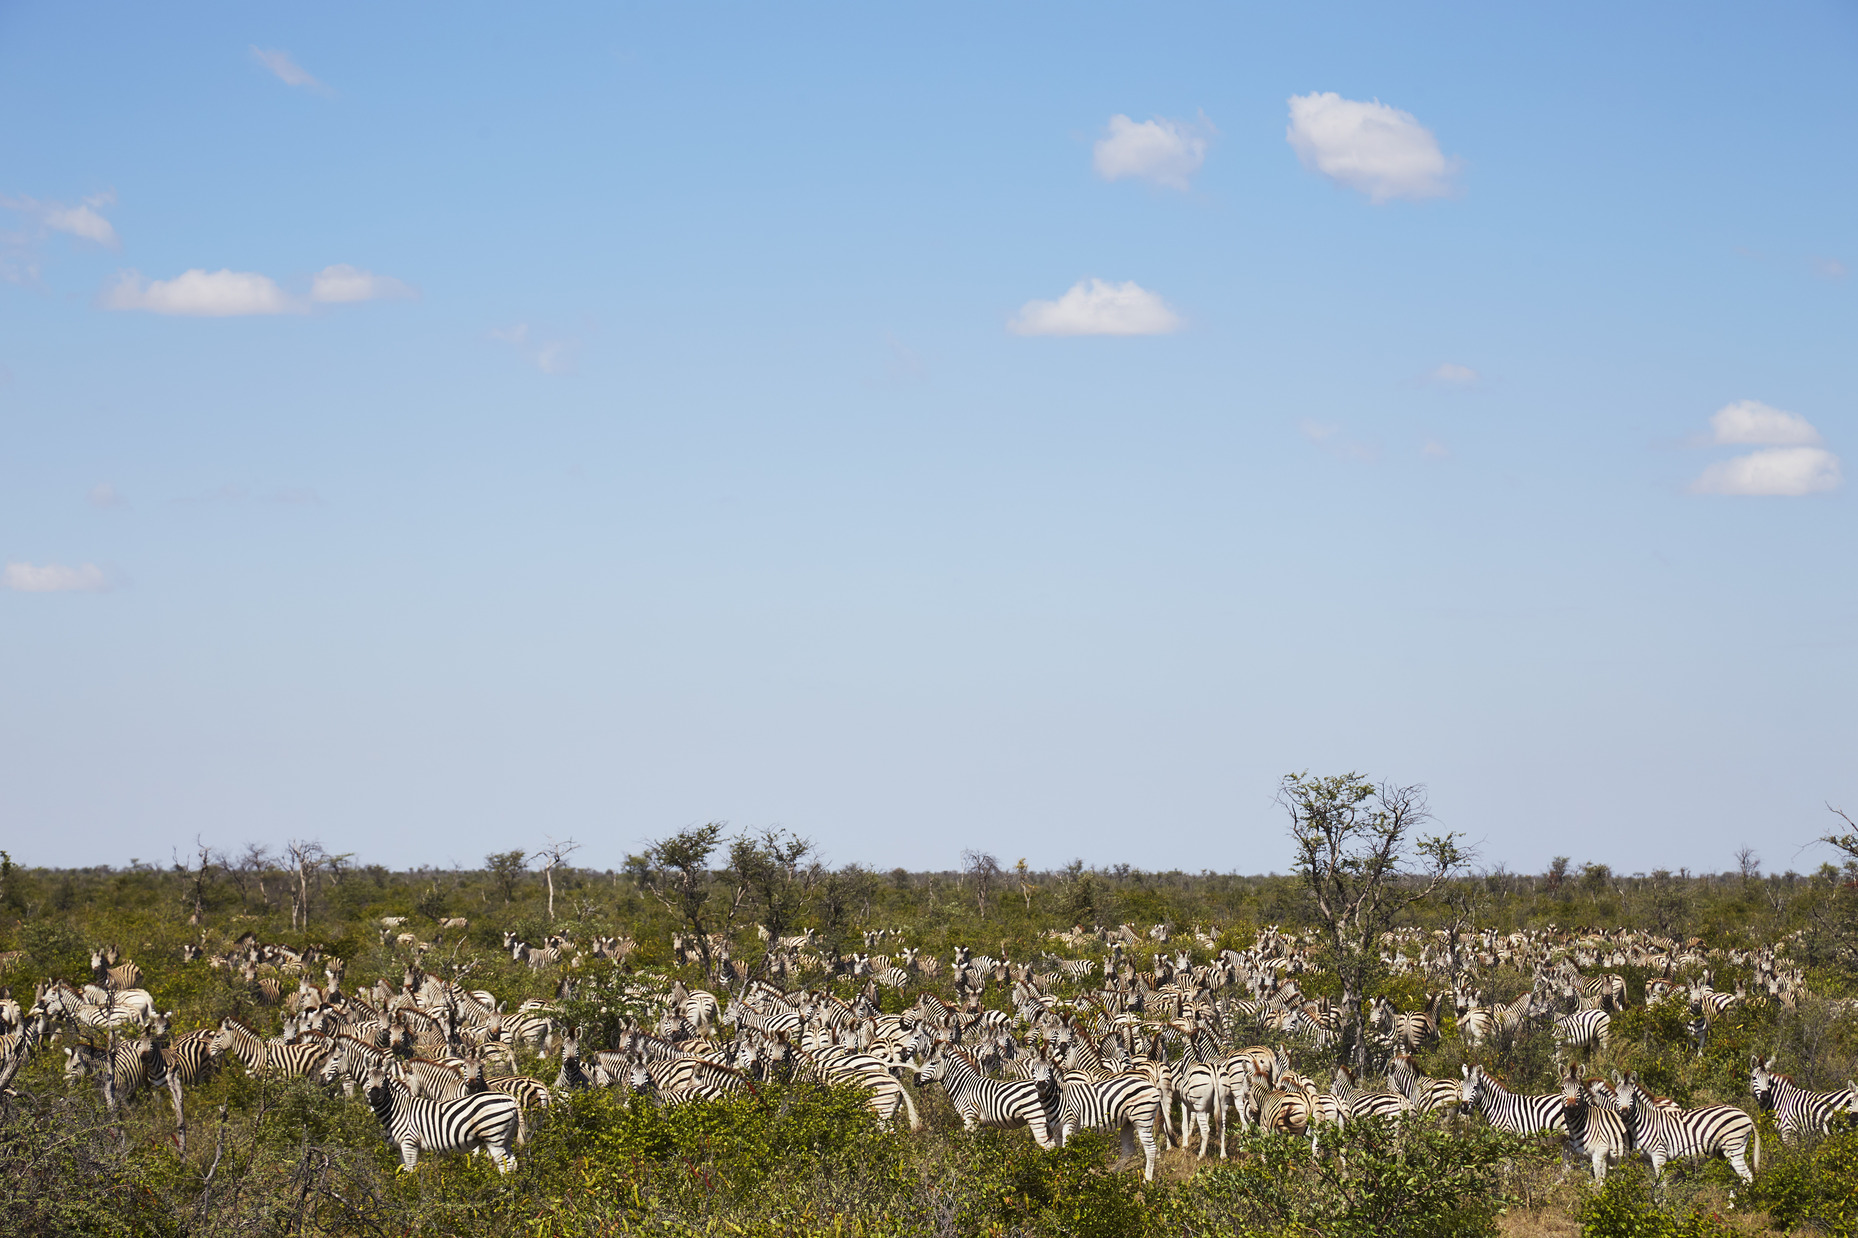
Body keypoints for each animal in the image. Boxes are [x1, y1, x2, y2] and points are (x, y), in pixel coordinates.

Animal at [364, 1055, 523, 1174]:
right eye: (367, 1079)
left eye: (384, 1080)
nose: (374, 1096)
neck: (396, 1109)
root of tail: (511, 1098)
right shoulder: (401, 1148)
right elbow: (405, 1173)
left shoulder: (410, 1143)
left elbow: (411, 1173)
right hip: (506, 1137)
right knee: (512, 1163)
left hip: (493, 1137)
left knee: (505, 1166)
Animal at [906, 1040, 1055, 1145]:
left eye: (933, 1063)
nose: (915, 1079)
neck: (964, 1087)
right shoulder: (980, 1122)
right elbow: (981, 1144)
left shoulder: (970, 1117)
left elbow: (971, 1144)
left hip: (1036, 1118)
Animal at [1612, 1063, 1753, 1182]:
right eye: (1617, 1094)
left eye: (1632, 1095)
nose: (1624, 1115)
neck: (1644, 1122)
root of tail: (1746, 1115)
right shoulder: (1648, 1159)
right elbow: (1654, 1186)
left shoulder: (1660, 1154)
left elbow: (1661, 1184)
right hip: (1726, 1152)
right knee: (1739, 1178)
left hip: (1734, 1147)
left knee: (1747, 1177)